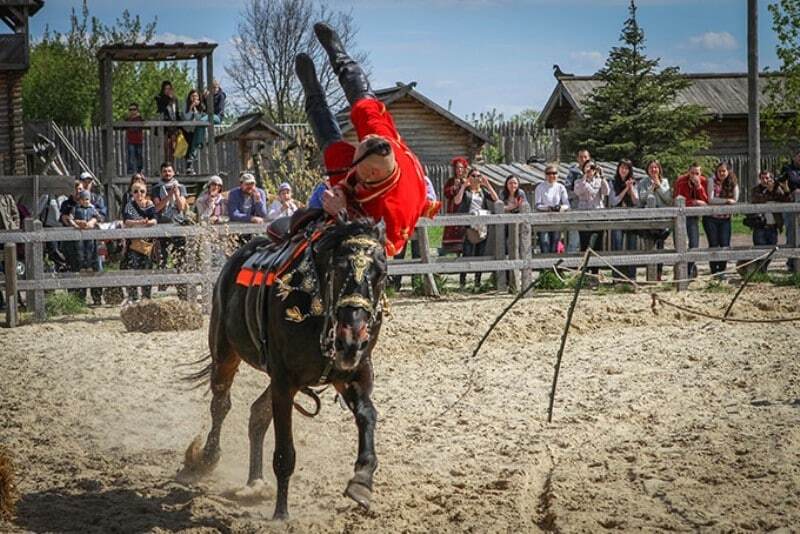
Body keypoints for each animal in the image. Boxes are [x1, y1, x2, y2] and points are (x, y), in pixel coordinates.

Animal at [182, 217, 388, 520]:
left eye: (381, 274)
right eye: (338, 268)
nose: (352, 339)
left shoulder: (353, 374)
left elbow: (368, 414)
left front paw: (362, 480)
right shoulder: (284, 382)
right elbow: (284, 453)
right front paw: (281, 513)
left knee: (257, 414)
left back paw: (255, 481)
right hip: (225, 352)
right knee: (221, 404)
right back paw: (207, 456)